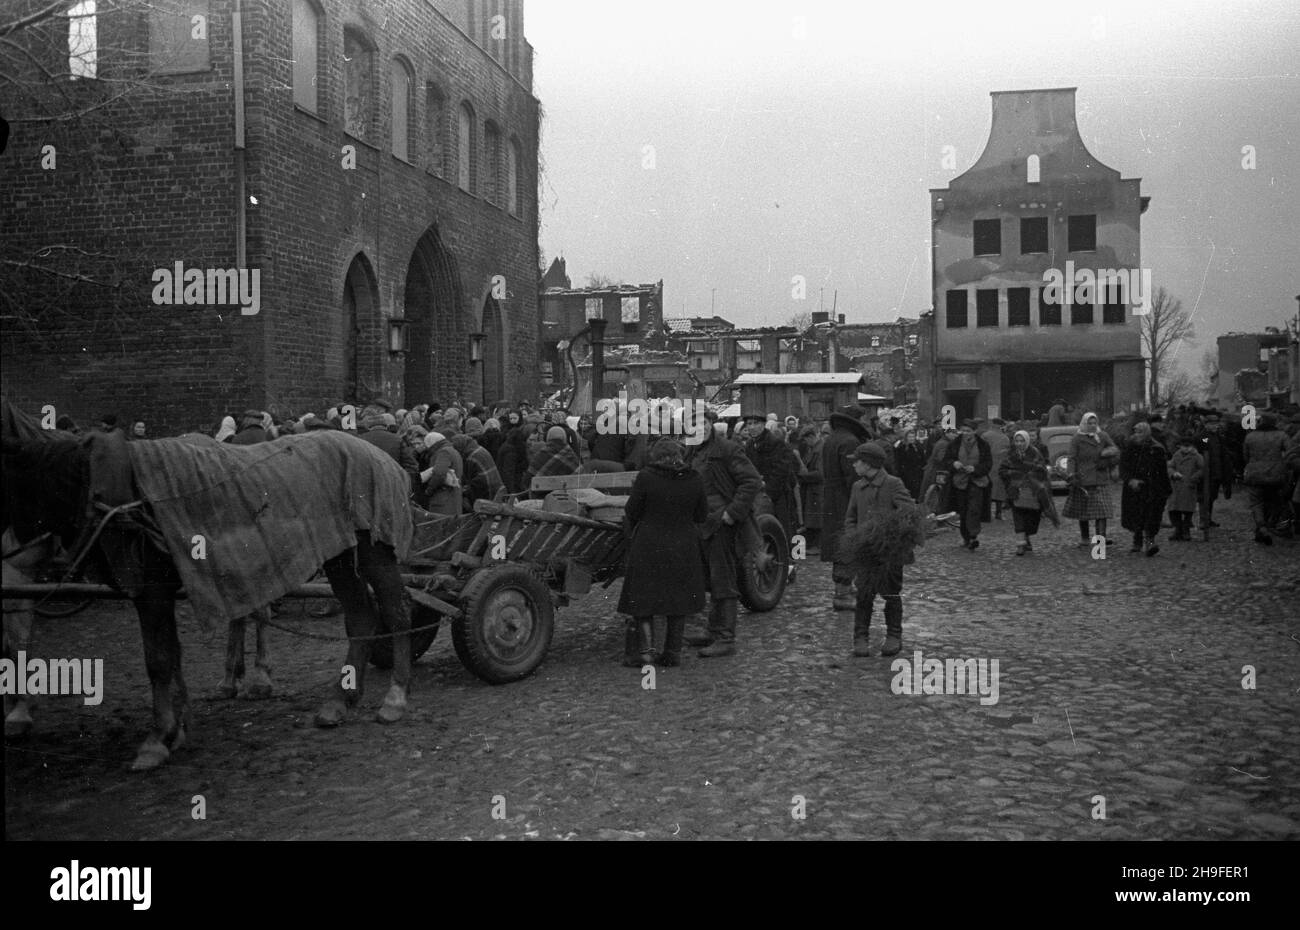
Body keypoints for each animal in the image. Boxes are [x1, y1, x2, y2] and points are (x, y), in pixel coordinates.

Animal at [0, 400, 413, 770]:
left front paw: (157, 739)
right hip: (338, 554)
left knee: (396, 613)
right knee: (360, 617)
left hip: (374, 548)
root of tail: (380, 454)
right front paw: (176, 730)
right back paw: (340, 702)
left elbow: (158, 660)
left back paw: (394, 698)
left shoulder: (150, 590)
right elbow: (170, 654)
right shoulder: (158, 591)